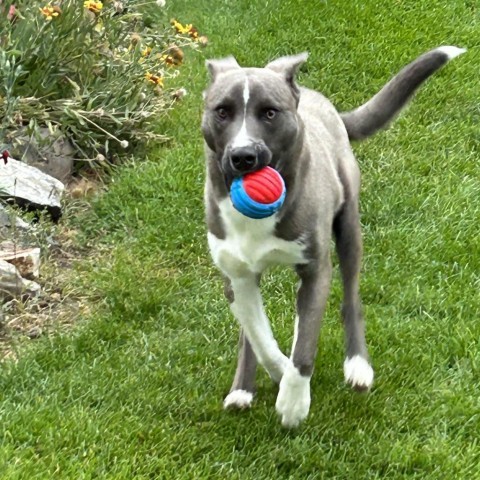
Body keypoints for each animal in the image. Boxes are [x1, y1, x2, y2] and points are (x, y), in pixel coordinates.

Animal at [200, 46, 464, 428]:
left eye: (269, 112)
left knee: (350, 297)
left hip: (349, 225)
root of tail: (321, 101)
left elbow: (306, 344)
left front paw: (293, 403)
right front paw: (278, 372)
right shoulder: (236, 274)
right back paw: (242, 390)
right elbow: (258, 336)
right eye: (222, 111)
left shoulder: (316, 268)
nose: (243, 156)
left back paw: (358, 366)